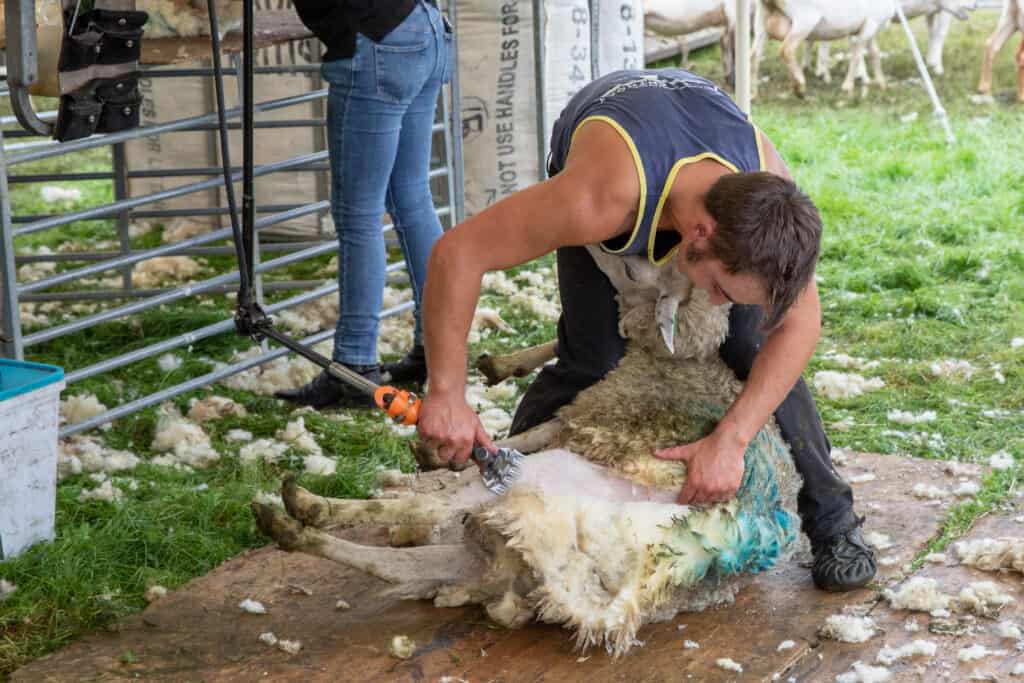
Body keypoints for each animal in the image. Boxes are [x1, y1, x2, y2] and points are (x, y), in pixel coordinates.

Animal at [251, 245, 802, 655]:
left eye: (632, 269)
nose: (599, 247)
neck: (680, 363)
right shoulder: (574, 420)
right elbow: (523, 423)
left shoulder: (583, 420)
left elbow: (514, 441)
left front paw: (435, 460)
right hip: (495, 557)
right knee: (398, 563)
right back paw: (291, 526)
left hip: (539, 496)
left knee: (431, 508)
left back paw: (310, 506)